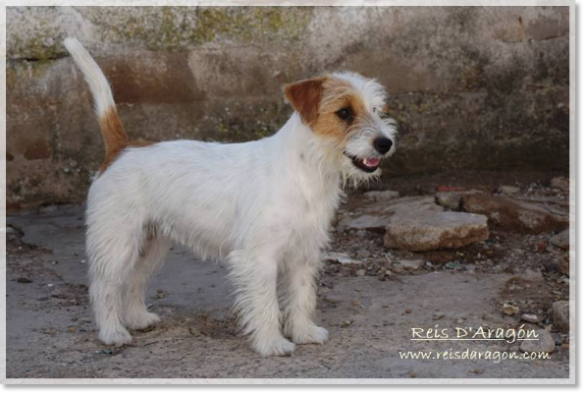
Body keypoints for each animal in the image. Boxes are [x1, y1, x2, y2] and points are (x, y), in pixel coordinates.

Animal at [64, 38, 394, 358]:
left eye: (377, 110)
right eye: (344, 112)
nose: (385, 143)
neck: (306, 171)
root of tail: (122, 148)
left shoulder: (304, 254)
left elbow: (302, 296)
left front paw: (303, 333)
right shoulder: (259, 258)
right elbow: (267, 303)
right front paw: (271, 344)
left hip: (151, 244)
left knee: (134, 280)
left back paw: (137, 319)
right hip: (118, 244)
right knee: (105, 287)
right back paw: (112, 332)